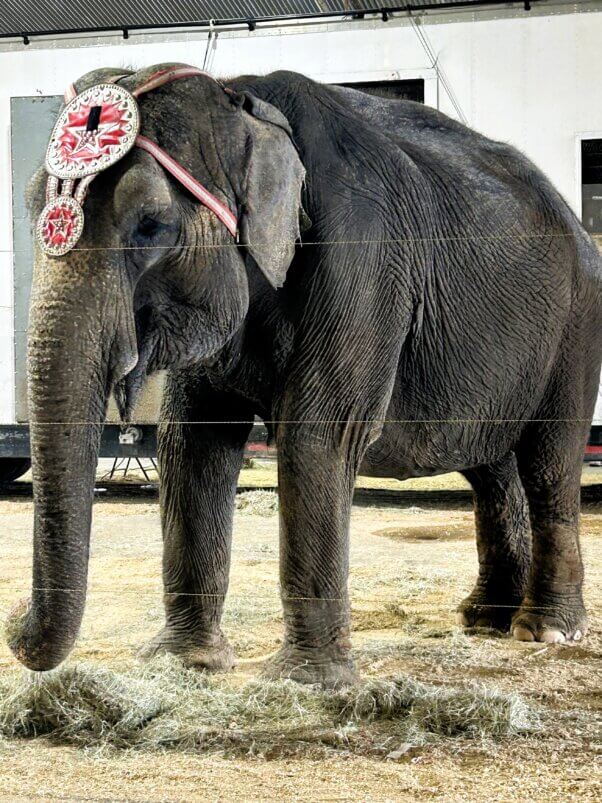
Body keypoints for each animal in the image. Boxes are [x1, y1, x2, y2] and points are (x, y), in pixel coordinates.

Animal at [7, 63, 602, 687]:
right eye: (28, 207)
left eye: (151, 225)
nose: (14, 619)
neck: (244, 99)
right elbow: (193, 441)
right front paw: (185, 662)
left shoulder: (363, 257)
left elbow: (319, 434)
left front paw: (305, 680)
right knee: (490, 469)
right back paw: (485, 620)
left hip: (577, 327)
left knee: (547, 463)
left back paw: (546, 629)